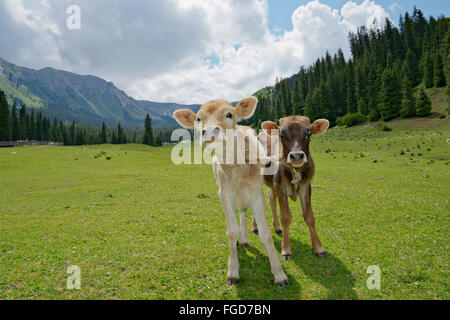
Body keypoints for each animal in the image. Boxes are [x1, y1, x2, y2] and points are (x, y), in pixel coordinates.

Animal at [172, 98, 288, 288]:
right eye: (198, 118)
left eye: (229, 114)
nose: (209, 131)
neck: (236, 168)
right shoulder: (224, 194)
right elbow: (232, 232)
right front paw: (233, 271)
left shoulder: (257, 194)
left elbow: (266, 234)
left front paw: (279, 274)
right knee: (239, 214)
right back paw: (243, 240)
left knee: (243, 212)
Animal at [255, 115, 328, 260]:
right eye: (281, 135)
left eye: (308, 134)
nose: (297, 156)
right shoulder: (281, 187)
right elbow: (286, 217)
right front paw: (286, 250)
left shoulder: (306, 187)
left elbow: (309, 217)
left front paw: (318, 248)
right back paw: (255, 227)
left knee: (271, 198)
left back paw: (277, 227)